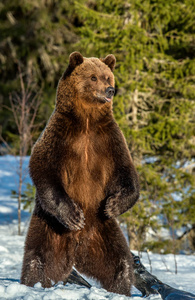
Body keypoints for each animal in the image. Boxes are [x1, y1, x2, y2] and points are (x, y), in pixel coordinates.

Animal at [21, 51, 140, 296]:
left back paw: (121, 290)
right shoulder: (60, 136)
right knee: (37, 259)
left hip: (104, 231)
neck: (86, 120)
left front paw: (114, 204)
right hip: (49, 228)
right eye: (93, 77)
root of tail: (76, 248)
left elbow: (126, 171)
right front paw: (74, 215)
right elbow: (43, 168)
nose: (110, 90)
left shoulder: (108, 140)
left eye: (107, 77)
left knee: (121, 262)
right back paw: (33, 284)